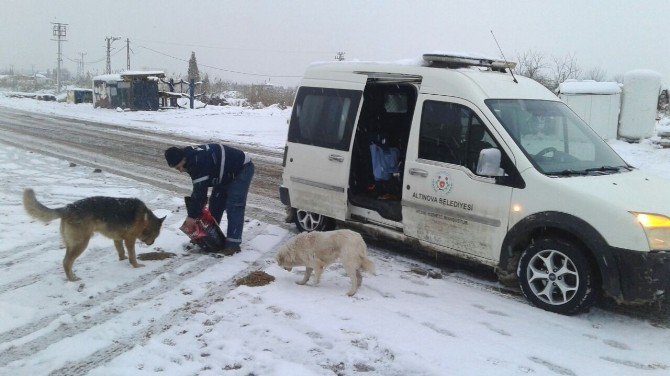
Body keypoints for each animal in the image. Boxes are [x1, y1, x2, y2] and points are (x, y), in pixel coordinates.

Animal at [24, 189, 167, 280]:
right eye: (156, 235)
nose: (152, 243)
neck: (145, 219)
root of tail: (68, 208)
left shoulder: (117, 239)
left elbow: (121, 252)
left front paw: (122, 260)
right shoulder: (130, 240)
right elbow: (132, 255)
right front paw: (136, 266)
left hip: (72, 244)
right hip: (81, 243)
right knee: (66, 262)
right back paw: (72, 279)